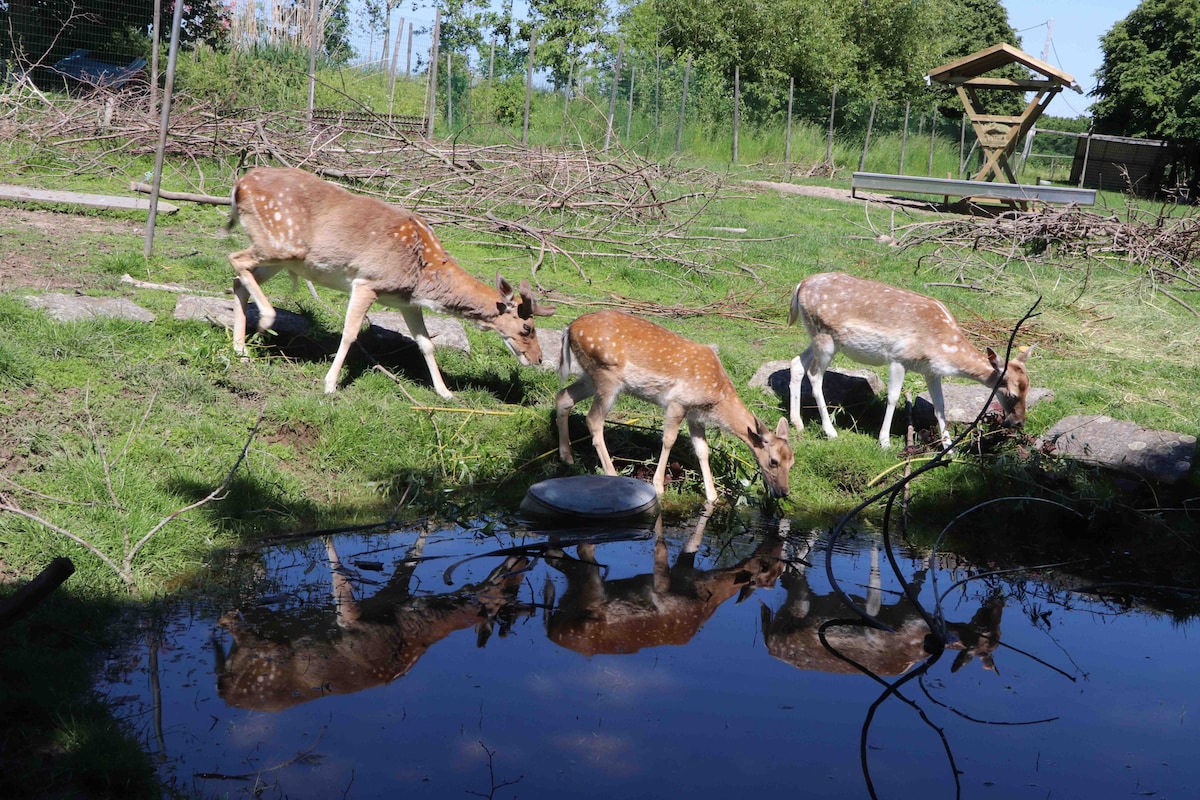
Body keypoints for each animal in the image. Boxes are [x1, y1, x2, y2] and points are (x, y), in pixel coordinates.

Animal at [226, 166, 554, 398]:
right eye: (528, 328)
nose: (538, 359)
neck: (423, 276)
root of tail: (239, 185)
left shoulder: (406, 301)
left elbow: (426, 344)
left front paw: (446, 393)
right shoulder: (367, 282)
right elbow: (350, 334)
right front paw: (330, 384)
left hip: (281, 258)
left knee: (240, 281)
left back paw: (241, 351)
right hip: (279, 244)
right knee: (235, 258)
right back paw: (265, 320)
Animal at [554, 309, 796, 503]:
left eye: (791, 462)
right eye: (773, 461)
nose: (783, 492)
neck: (716, 399)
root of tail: (569, 329)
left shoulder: (695, 416)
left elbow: (703, 451)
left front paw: (712, 496)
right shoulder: (678, 402)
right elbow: (669, 440)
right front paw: (658, 485)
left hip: (590, 376)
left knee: (563, 397)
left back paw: (567, 457)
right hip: (606, 376)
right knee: (593, 419)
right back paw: (611, 473)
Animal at [787, 273, 1032, 450]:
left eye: (1028, 388)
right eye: (1011, 394)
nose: (1019, 422)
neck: (943, 347)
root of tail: (800, 285)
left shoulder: (931, 371)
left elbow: (940, 406)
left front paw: (949, 449)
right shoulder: (899, 358)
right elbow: (893, 397)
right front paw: (884, 442)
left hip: (819, 337)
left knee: (797, 362)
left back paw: (797, 423)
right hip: (825, 337)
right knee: (815, 375)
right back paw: (830, 432)